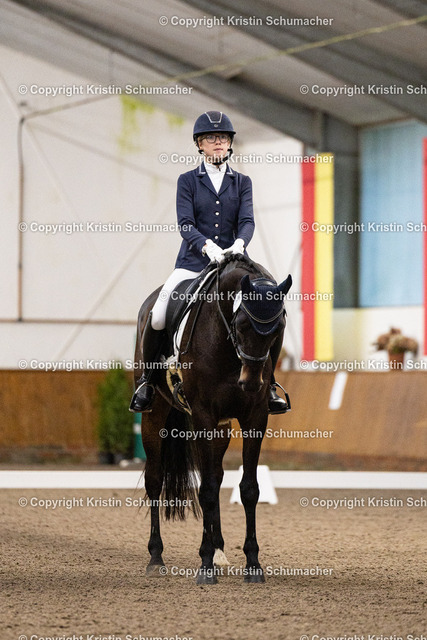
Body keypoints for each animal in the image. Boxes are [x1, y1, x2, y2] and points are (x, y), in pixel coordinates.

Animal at [133, 255, 292, 584]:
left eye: (279, 328)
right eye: (242, 324)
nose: (251, 383)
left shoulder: (255, 418)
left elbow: (248, 489)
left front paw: (252, 565)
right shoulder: (203, 416)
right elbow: (204, 490)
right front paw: (204, 566)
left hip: (222, 428)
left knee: (216, 478)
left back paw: (218, 550)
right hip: (155, 415)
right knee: (155, 480)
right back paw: (156, 557)